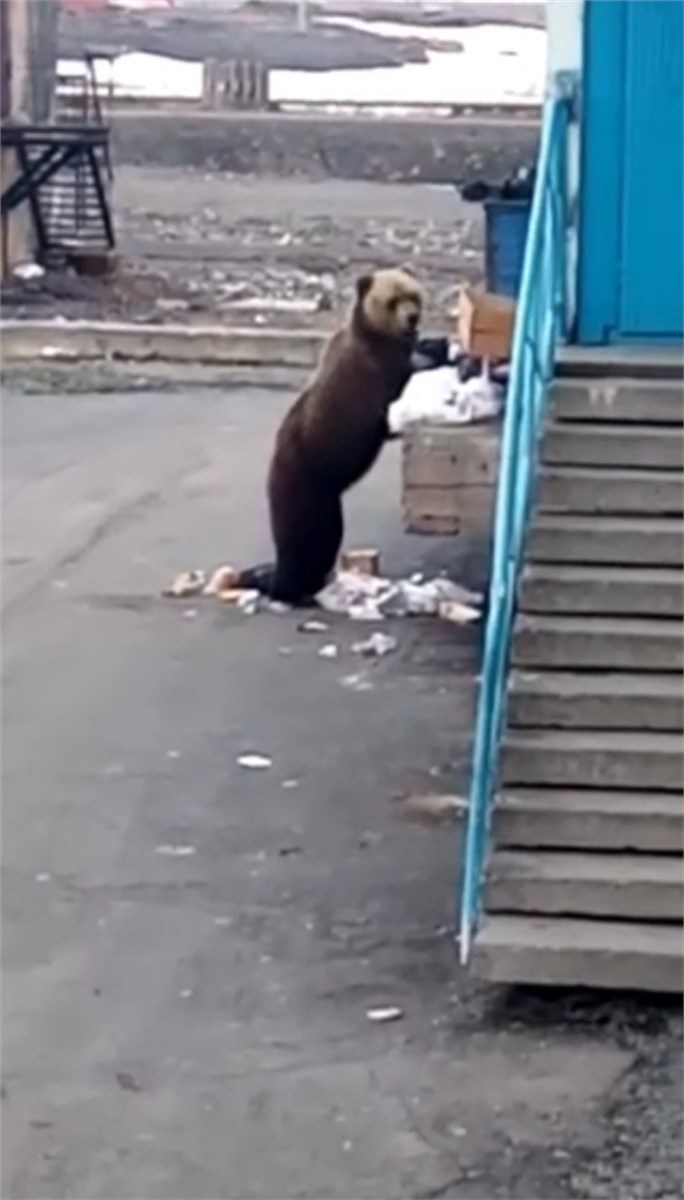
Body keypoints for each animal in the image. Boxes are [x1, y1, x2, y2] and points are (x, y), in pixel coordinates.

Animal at [238, 267, 420, 604]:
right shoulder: (372, 377)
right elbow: (397, 396)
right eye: (392, 300)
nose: (411, 318)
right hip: (305, 484)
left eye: (414, 294)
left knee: (326, 540)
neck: (377, 338)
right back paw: (290, 588)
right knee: (306, 539)